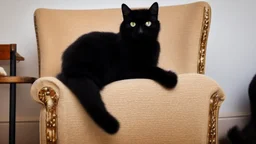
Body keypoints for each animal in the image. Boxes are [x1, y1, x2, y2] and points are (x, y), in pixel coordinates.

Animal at [56, 1, 178, 135]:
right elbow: (152, 69)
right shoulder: (128, 70)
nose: (140, 32)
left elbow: (153, 67)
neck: (143, 47)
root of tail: (67, 69)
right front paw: (170, 78)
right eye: (132, 24)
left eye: (148, 23)